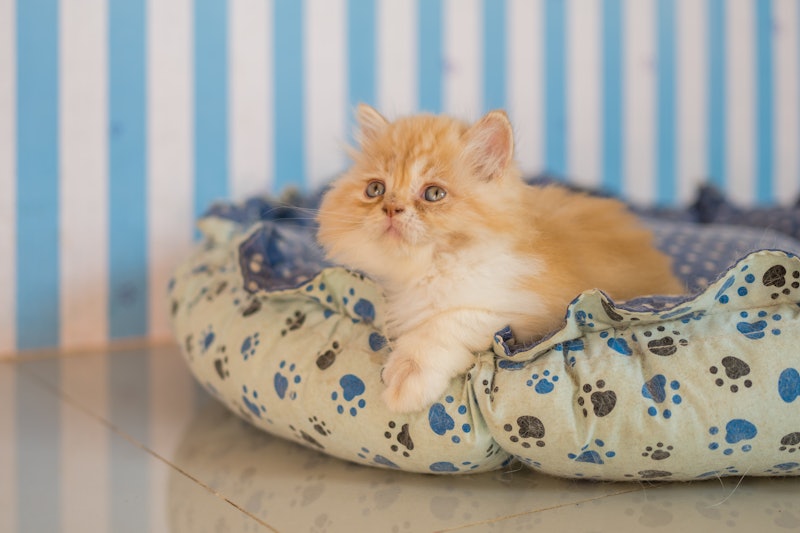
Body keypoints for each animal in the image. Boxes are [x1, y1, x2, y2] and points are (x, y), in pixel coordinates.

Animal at [316, 104, 684, 412]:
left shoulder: (529, 309)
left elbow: (447, 322)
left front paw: (406, 379)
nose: (391, 209)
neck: (430, 270)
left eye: (433, 194)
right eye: (375, 190)